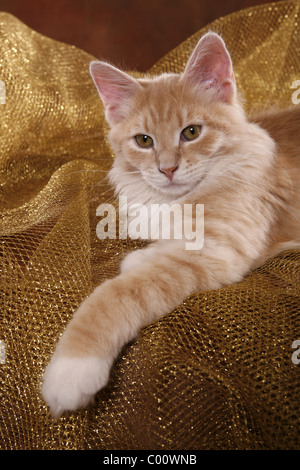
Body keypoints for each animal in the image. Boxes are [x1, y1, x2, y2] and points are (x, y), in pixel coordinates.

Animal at [40, 32, 300, 414]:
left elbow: (114, 292)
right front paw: (143, 255)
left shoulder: (218, 249)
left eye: (191, 132)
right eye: (143, 141)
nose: (167, 169)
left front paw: (71, 369)